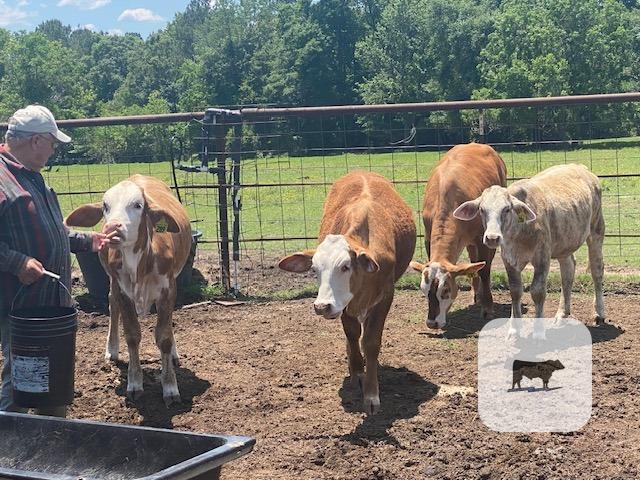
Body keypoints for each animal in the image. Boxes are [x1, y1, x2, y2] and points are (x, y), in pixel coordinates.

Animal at [65, 175, 192, 405]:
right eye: (105, 206)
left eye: (137, 205)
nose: (113, 227)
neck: (139, 265)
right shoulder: (123, 290)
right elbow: (132, 335)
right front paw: (134, 384)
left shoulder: (168, 289)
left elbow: (164, 337)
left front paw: (170, 387)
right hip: (112, 281)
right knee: (111, 302)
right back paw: (112, 349)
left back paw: (174, 354)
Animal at [278, 171, 416, 415]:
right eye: (314, 269)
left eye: (345, 266)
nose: (321, 306)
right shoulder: (344, 305)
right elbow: (352, 334)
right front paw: (357, 371)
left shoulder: (385, 296)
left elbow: (370, 341)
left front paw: (371, 395)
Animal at [410, 143, 507, 329]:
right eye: (424, 290)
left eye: (446, 290)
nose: (432, 322)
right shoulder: (427, 236)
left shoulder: (483, 239)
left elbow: (485, 271)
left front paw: (488, 308)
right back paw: (476, 294)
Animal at [454, 164, 605, 339]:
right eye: (482, 209)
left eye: (507, 209)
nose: (492, 238)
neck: (519, 231)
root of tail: (581, 167)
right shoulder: (509, 259)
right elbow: (515, 291)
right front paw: (514, 330)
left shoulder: (542, 257)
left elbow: (537, 292)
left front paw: (538, 332)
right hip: (565, 243)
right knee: (568, 271)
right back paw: (562, 313)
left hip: (596, 230)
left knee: (596, 270)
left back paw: (599, 313)